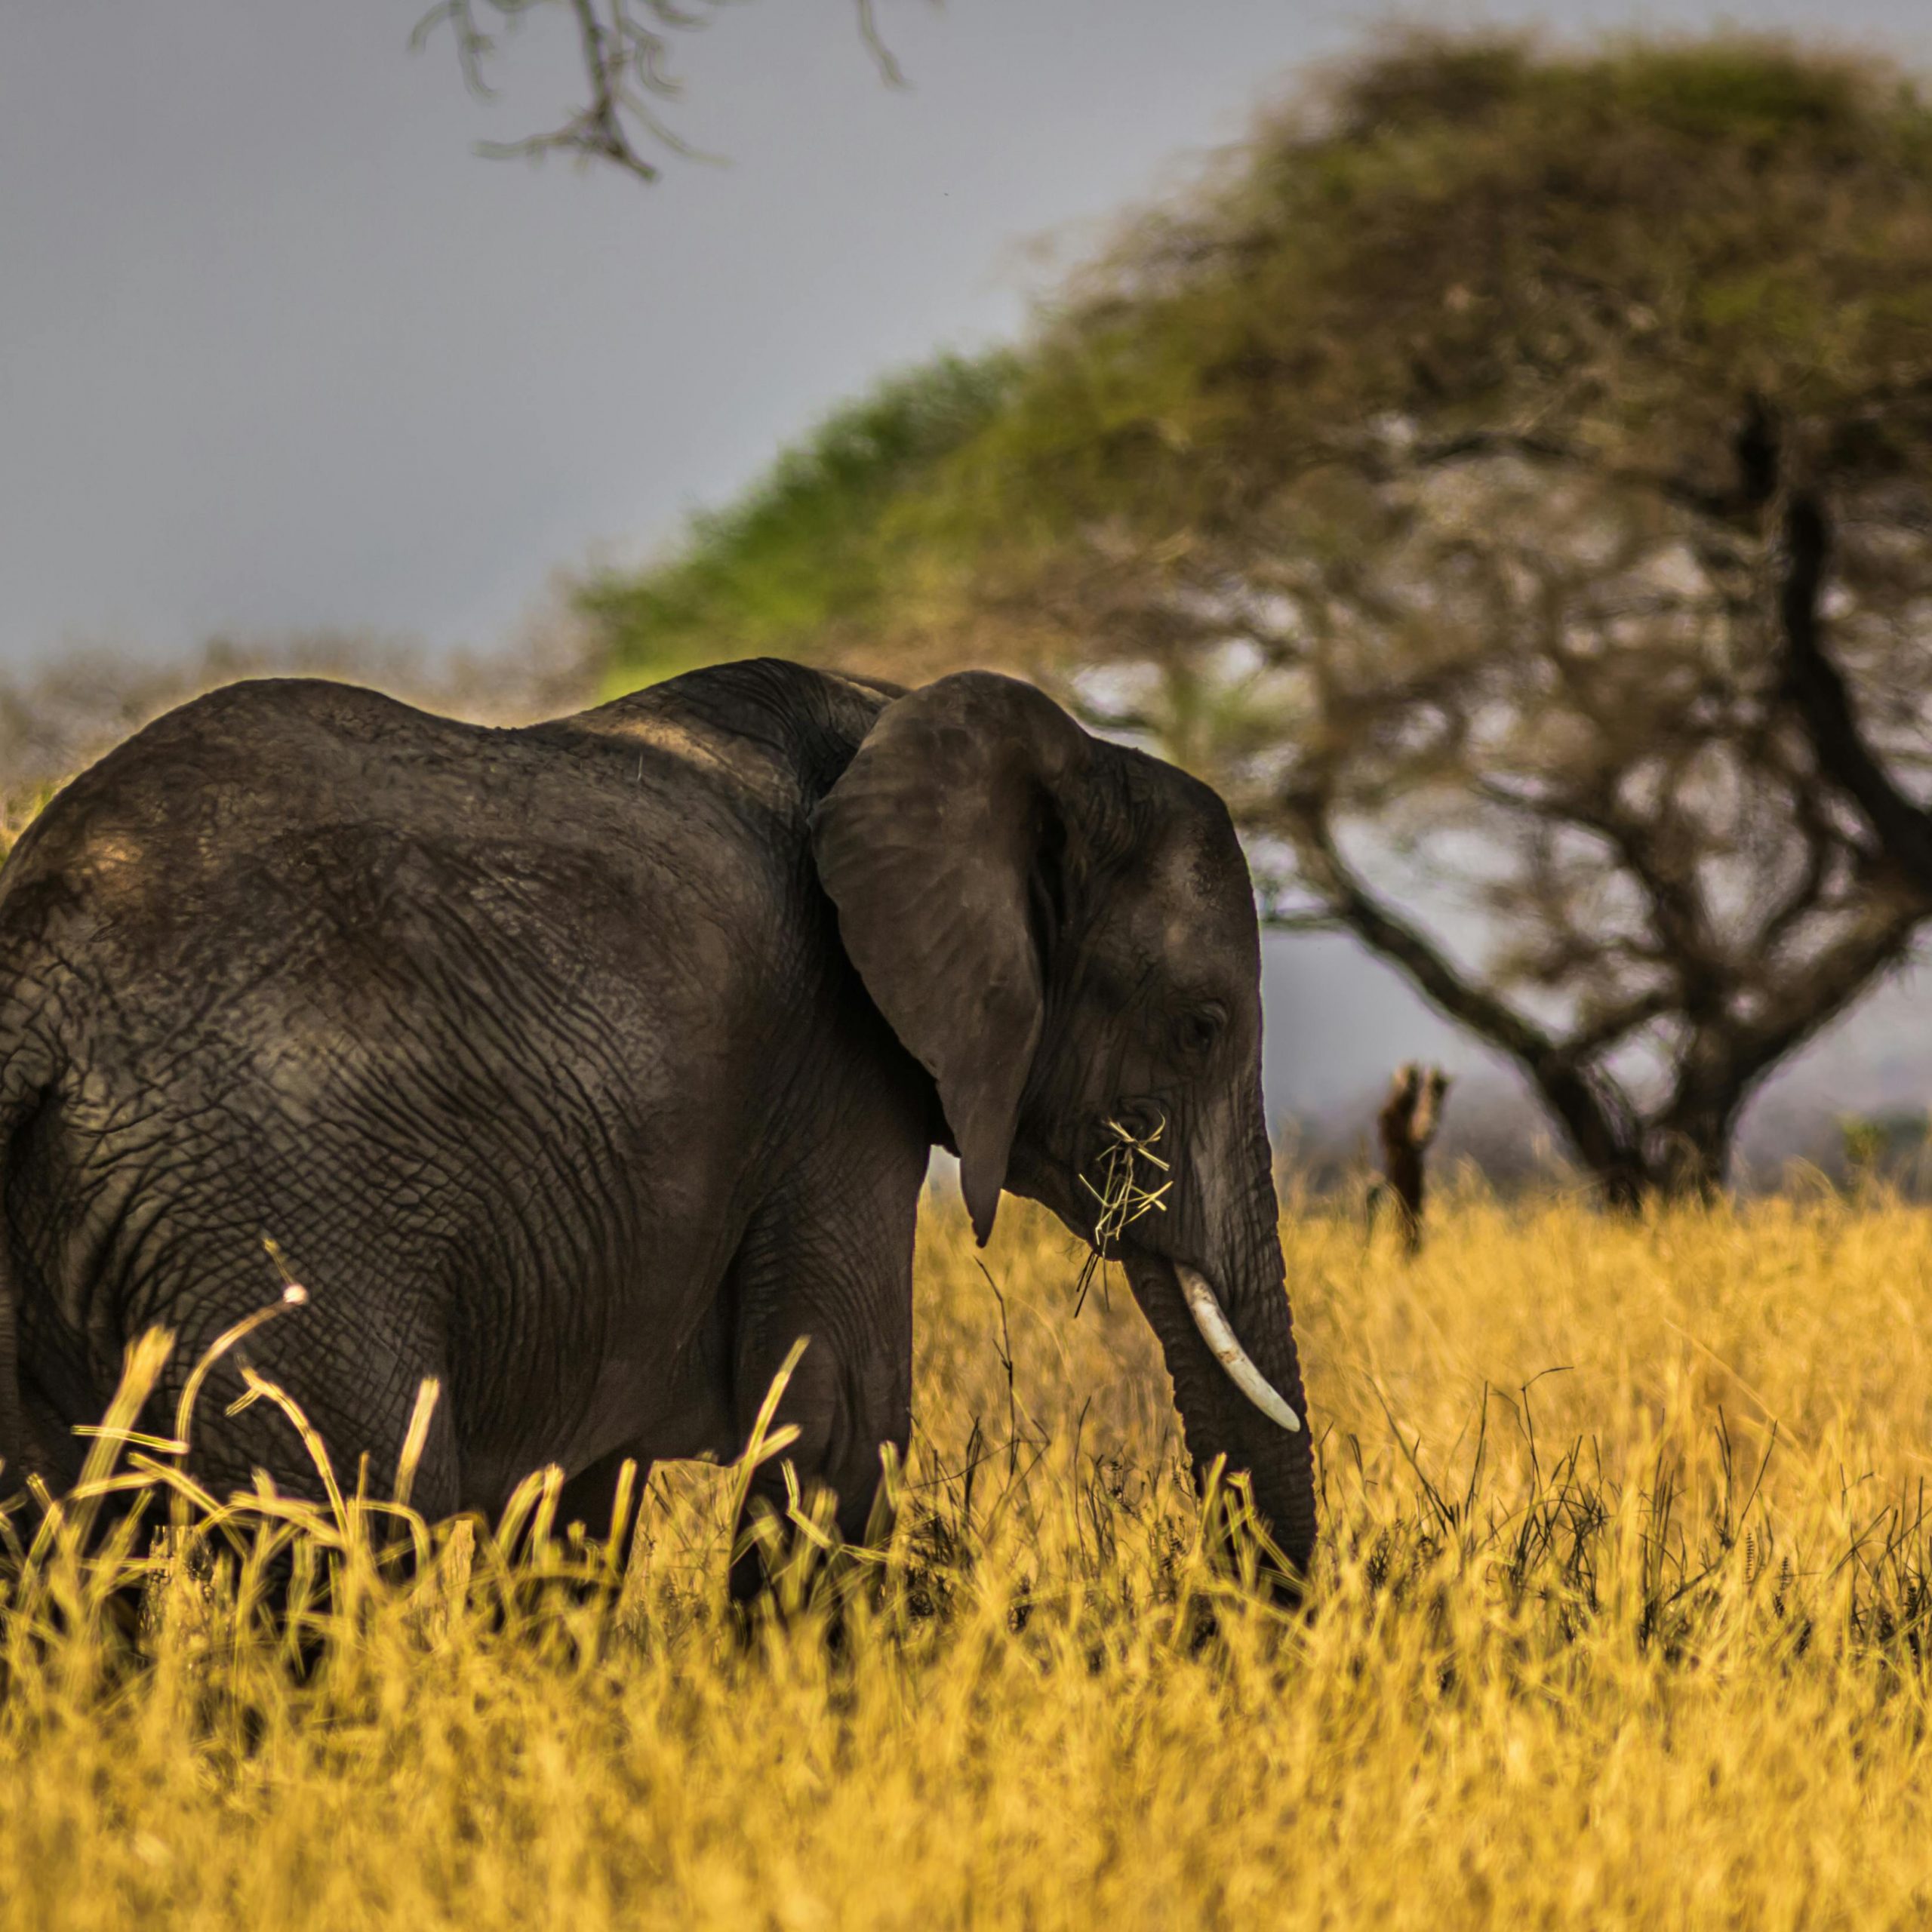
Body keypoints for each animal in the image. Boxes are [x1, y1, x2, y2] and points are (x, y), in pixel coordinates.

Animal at [0, 664, 1313, 1599]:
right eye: (1202, 1028)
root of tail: (40, 967)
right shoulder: (836, 1075)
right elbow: (840, 1428)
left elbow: (574, 1500)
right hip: (278, 1214)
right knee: (350, 1528)